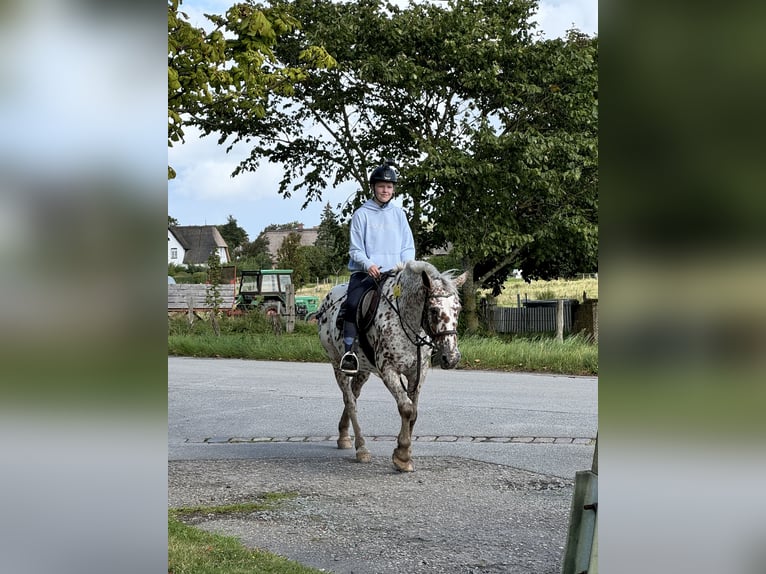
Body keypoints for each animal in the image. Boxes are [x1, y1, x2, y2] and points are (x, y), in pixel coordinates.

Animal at [316, 260, 468, 472]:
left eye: (458, 309)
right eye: (433, 310)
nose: (451, 357)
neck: (405, 320)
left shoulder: (418, 373)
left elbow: (414, 412)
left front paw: (406, 451)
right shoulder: (388, 371)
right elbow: (406, 408)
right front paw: (402, 456)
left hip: (363, 371)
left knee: (354, 394)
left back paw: (343, 436)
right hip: (337, 364)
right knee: (350, 401)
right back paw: (361, 448)